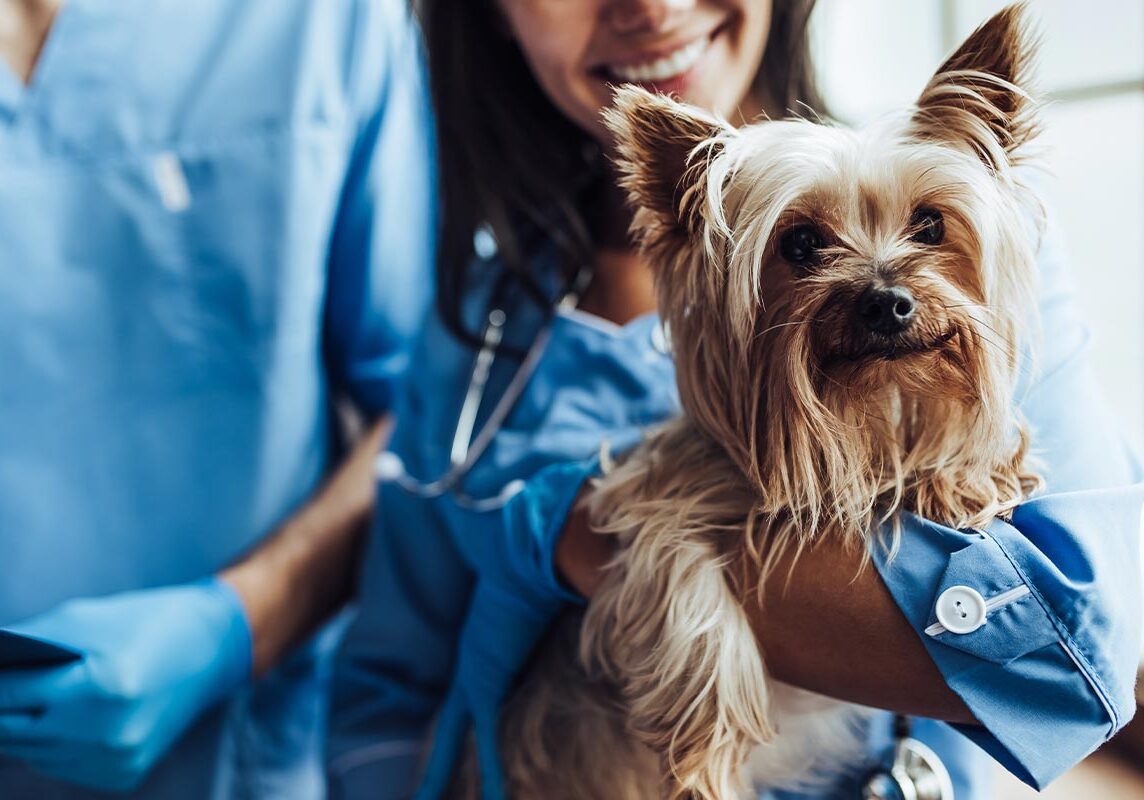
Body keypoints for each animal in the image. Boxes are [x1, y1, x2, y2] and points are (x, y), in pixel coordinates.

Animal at [469, 6, 1043, 800]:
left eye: (930, 225)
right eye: (799, 243)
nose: (887, 302)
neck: (857, 413)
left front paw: (962, 473)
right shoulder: (644, 498)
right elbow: (682, 583)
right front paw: (704, 747)